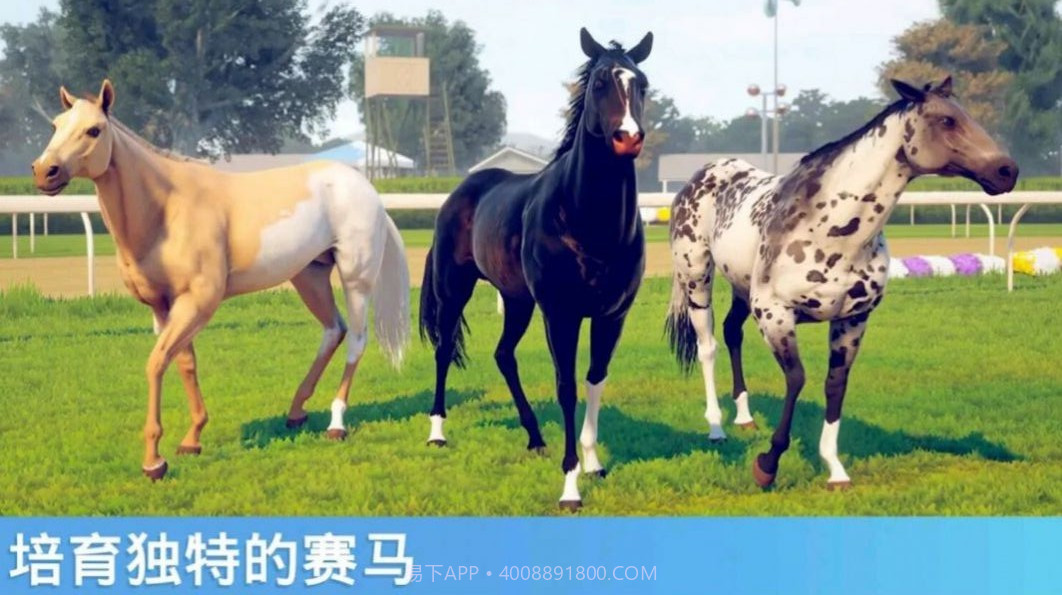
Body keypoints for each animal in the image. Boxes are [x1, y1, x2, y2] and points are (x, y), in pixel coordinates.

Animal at [31, 80, 411, 481]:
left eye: (94, 130)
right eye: (56, 125)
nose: (44, 172)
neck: (167, 210)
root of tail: (369, 191)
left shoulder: (199, 301)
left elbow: (157, 362)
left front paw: (154, 461)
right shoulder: (164, 306)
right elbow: (184, 362)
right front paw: (191, 440)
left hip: (356, 279)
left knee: (356, 341)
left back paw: (336, 424)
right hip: (309, 277)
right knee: (333, 330)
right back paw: (295, 412)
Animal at [419, 28, 653, 510]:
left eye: (642, 84)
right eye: (599, 81)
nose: (628, 138)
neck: (584, 219)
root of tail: (459, 193)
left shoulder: (611, 315)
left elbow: (595, 380)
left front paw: (593, 463)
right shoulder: (560, 315)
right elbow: (566, 386)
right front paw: (570, 486)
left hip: (517, 300)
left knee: (503, 355)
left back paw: (535, 437)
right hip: (455, 291)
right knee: (443, 350)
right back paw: (437, 433)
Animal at [665, 77, 1017, 490]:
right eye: (946, 120)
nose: (1007, 170)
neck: (831, 229)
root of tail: (703, 175)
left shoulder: (852, 319)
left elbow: (835, 385)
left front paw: (834, 469)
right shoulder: (775, 314)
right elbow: (797, 378)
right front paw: (767, 465)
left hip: (740, 286)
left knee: (732, 331)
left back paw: (744, 417)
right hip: (697, 280)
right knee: (708, 346)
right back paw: (717, 427)